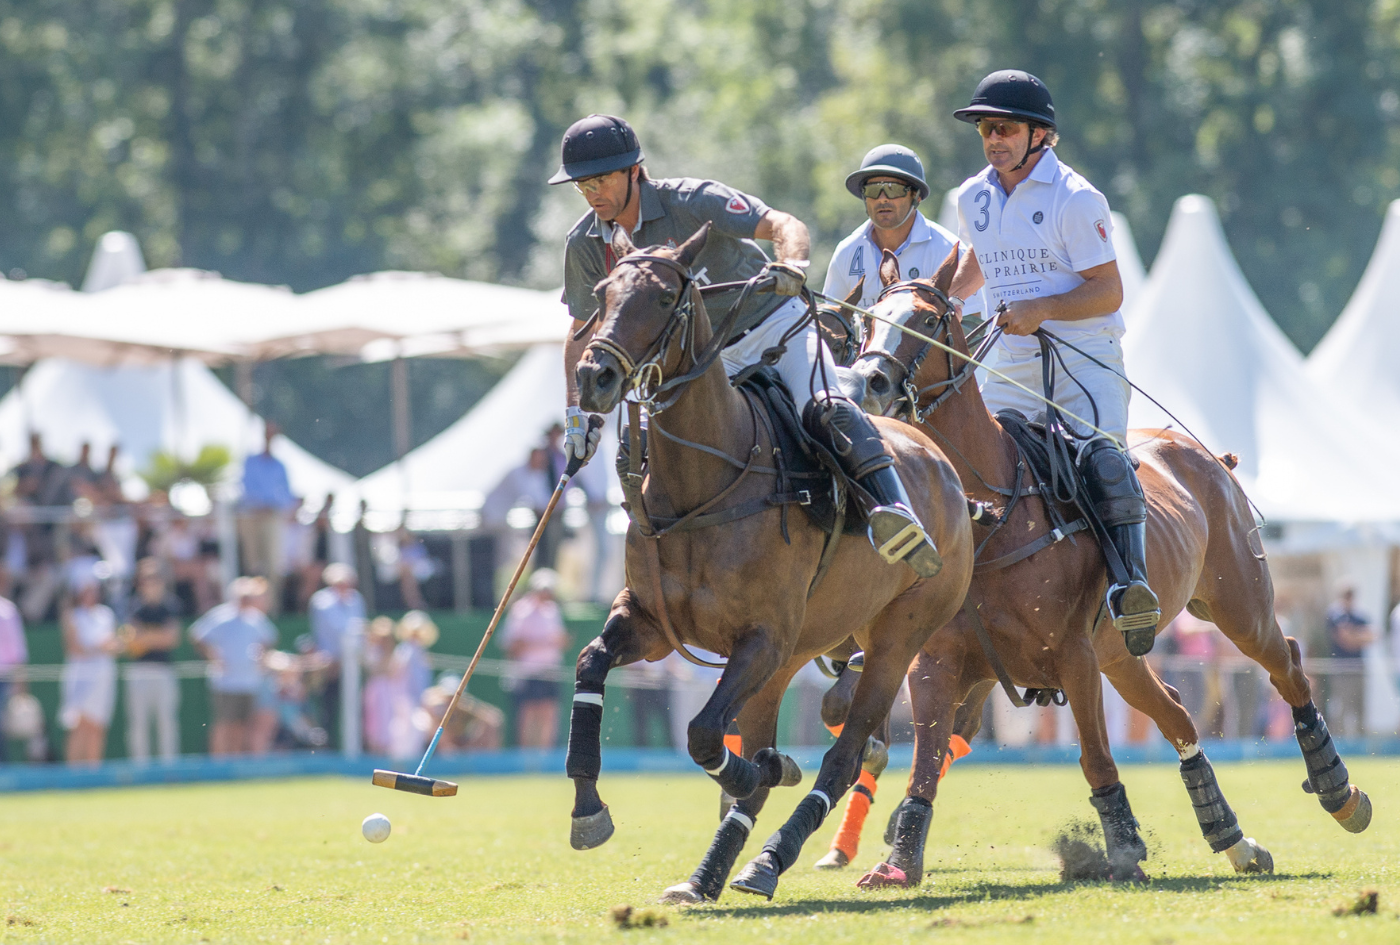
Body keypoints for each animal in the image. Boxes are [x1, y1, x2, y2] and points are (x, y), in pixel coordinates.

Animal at [562, 225, 968, 907]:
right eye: (601, 293)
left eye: (666, 296)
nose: (594, 375)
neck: (702, 482)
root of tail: (941, 459)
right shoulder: (651, 620)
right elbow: (591, 665)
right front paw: (589, 809)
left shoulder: (763, 637)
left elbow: (705, 735)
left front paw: (764, 771)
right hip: (800, 651)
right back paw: (707, 876)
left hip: (898, 636)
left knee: (846, 753)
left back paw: (769, 858)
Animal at [845, 249, 1372, 884]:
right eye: (866, 318)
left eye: (925, 319)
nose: (868, 383)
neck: (985, 511)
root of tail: (1211, 458)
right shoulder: (935, 660)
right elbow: (924, 762)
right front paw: (897, 863)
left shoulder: (1073, 655)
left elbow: (1096, 758)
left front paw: (1123, 850)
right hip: (1122, 653)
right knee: (1178, 714)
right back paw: (1235, 840)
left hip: (1237, 606)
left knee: (1288, 663)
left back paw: (1340, 793)